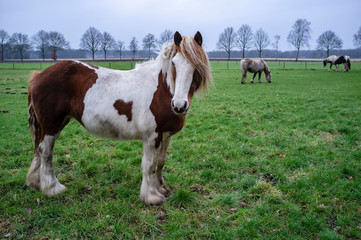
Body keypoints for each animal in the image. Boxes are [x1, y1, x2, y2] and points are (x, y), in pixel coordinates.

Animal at [26, 31, 212, 204]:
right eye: (174, 63)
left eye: (197, 65)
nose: (179, 105)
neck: (162, 91)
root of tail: (38, 76)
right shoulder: (152, 137)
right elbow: (149, 165)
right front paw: (151, 196)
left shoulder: (165, 136)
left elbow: (160, 162)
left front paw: (162, 189)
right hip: (51, 125)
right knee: (45, 152)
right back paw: (52, 188)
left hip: (57, 123)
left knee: (39, 150)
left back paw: (36, 183)